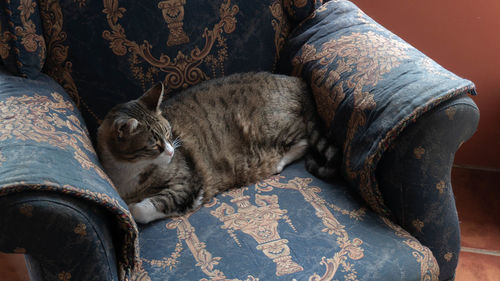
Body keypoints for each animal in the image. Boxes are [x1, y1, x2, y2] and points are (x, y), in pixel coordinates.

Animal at [96, 72, 340, 223]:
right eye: (154, 145)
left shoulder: (187, 184)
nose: (172, 151)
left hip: (272, 128)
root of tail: (295, 80)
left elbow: (140, 210)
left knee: (304, 141)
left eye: (168, 133)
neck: (130, 173)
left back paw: (278, 161)